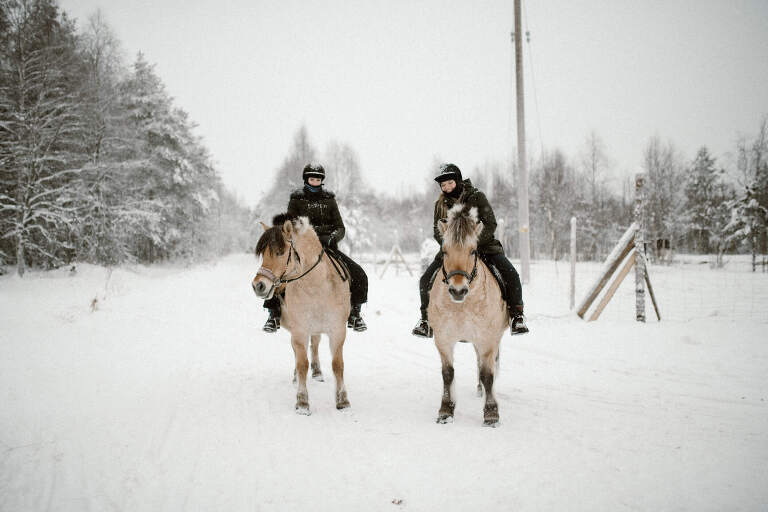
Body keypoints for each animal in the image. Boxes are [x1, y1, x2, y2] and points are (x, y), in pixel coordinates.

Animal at [252, 214, 351, 415]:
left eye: (280, 252)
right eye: (263, 253)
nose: (258, 285)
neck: (317, 287)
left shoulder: (337, 331)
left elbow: (338, 365)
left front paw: (343, 401)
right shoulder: (300, 331)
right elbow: (302, 363)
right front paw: (303, 403)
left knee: (315, 345)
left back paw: (318, 372)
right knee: (299, 353)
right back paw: (297, 378)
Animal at [428, 204, 509, 426]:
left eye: (473, 251)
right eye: (444, 251)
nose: (458, 290)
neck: (462, 307)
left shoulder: (487, 339)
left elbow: (488, 374)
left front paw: (491, 414)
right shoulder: (443, 339)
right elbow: (448, 374)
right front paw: (446, 410)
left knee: (489, 365)